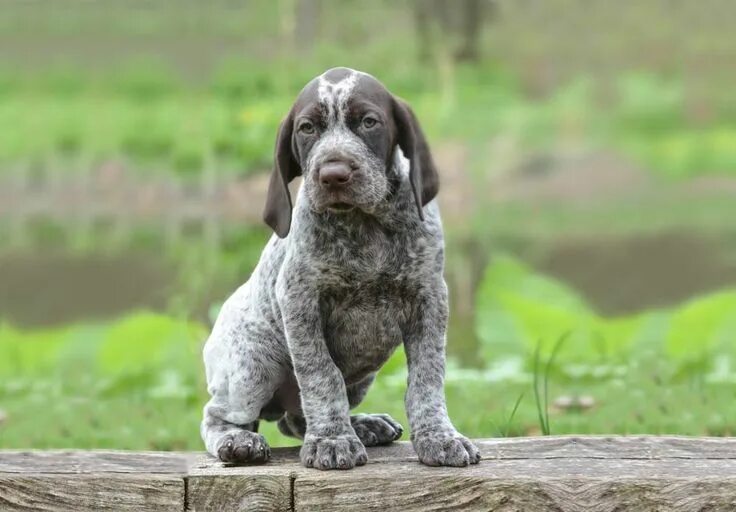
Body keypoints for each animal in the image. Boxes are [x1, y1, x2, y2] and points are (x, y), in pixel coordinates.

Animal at [198, 68, 480, 472]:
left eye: (369, 122)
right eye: (307, 128)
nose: (333, 174)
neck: (365, 224)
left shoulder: (430, 297)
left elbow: (428, 378)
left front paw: (439, 437)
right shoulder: (300, 301)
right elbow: (321, 375)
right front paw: (331, 441)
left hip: (361, 378)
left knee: (296, 419)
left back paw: (362, 425)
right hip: (253, 364)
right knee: (218, 416)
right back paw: (238, 441)